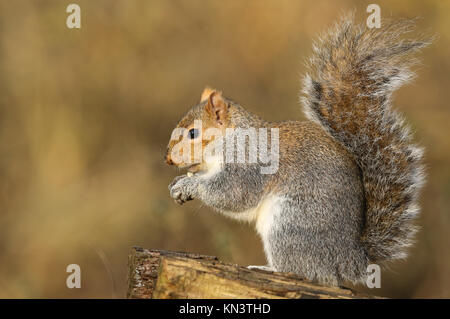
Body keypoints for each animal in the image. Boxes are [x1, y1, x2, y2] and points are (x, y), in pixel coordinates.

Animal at [164, 15, 428, 286]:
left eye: (193, 133)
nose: (168, 159)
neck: (230, 139)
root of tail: (349, 260)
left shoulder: (249, 163)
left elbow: (233, 193)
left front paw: (190, 185)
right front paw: (178, 183)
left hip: (289, 225)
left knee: (304, 270)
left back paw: (269, 269)